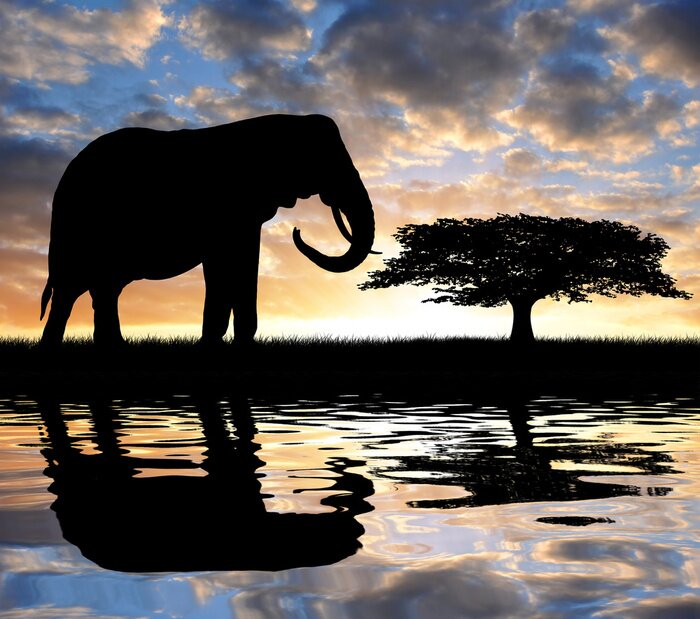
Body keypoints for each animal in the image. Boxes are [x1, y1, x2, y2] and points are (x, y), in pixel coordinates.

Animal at [39, 113, 376, 346]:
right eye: (326, 160)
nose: (298, 231)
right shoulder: (226, 208)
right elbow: (223, 266)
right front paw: (216, 343)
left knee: (102, 290)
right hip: (81, 225)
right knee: (71, 291)